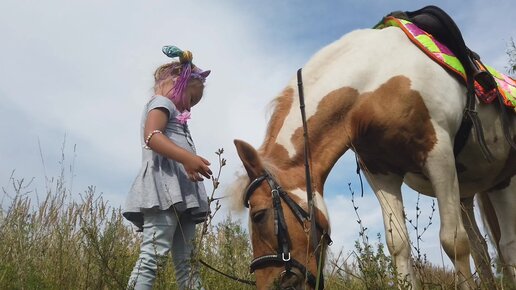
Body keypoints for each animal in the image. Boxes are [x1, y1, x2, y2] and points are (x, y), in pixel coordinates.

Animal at [231, 24, 516, 290]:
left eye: (259, 216)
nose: (267, 284)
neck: (377, 80)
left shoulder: (439, 157)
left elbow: (454, 241)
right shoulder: (381, 173)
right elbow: (398, 245)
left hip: (503, 182)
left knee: (507, 246)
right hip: (467, 191)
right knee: (482, 248)